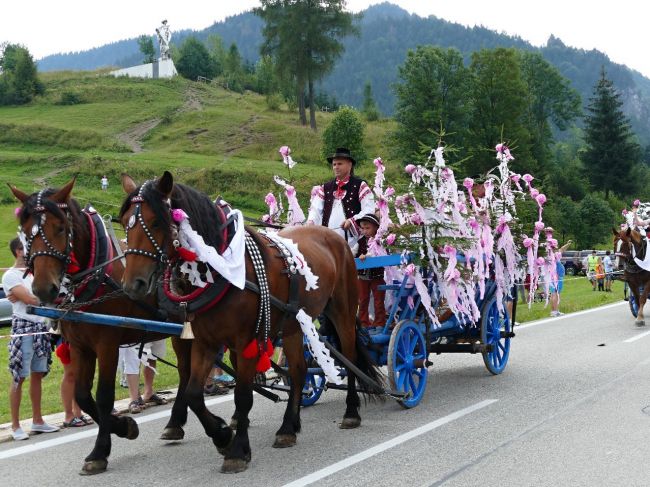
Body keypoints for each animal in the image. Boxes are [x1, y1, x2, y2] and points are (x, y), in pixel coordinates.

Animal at [8, 181, 191, 474]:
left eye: (60, 228)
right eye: (26, 232)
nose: (44, 289)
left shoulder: (107, 344)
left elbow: (104, 396)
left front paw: (99, 452)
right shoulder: (80, 346)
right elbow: (82, 395)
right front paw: (124, 426)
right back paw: (175, 423)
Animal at [118, 171, 382, 472]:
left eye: (155, 222)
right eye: (124, 223)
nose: (133, 285)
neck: (221, 269)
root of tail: (335, 236)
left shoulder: (246, 341)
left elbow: (243, 395)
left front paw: (237, 449)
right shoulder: (205, 341)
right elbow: (194, 393)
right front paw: (222, 435)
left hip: (343, 312)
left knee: (349, 359)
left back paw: (351, 412)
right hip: (293, 325)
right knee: (299, 371)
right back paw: (288, 427)